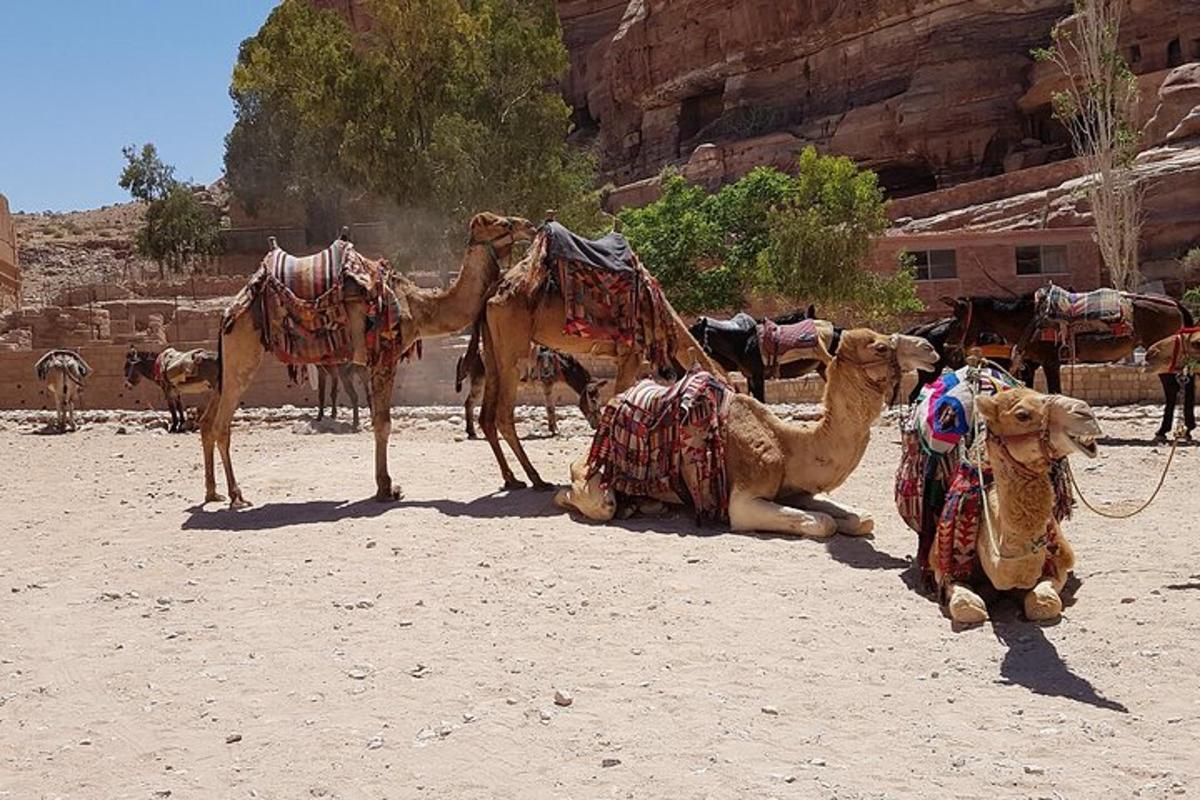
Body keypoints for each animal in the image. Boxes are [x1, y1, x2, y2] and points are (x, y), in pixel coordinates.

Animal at [202, 212, 535, 506]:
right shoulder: (386, 357)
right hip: (242, 351)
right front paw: (387, 489)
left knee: (207, 421)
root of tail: (229, 310)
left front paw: (385, 485)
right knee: (221, 425)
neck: (417, 306)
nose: (530, 226)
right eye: (503, 223)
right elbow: (383, 423)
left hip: (230, 360)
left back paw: (213, 493)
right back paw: (236, 496)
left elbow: (379, 419)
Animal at [480, 221, 724, 491]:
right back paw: (537, 479)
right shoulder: (632, 353)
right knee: (503, 414)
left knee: (486, 416)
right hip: (512, 351)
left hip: (491, 350)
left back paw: (512, 478)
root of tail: (493, 292)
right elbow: (620, 400)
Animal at [552, 328, 936, 534]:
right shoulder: (743, 501)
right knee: (593, 497)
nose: (930, 349)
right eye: (881, 346)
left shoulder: (795, 490)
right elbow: (823, 522)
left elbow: (861, 519)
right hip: (595, 480)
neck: (789, 443)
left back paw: (644, 505)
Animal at [931, 388, 1099, 623]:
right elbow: (967, 607)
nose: (1085, 412)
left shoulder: (1060, 563)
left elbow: (1045, 603)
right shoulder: (942, 566)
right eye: (1022, 415)